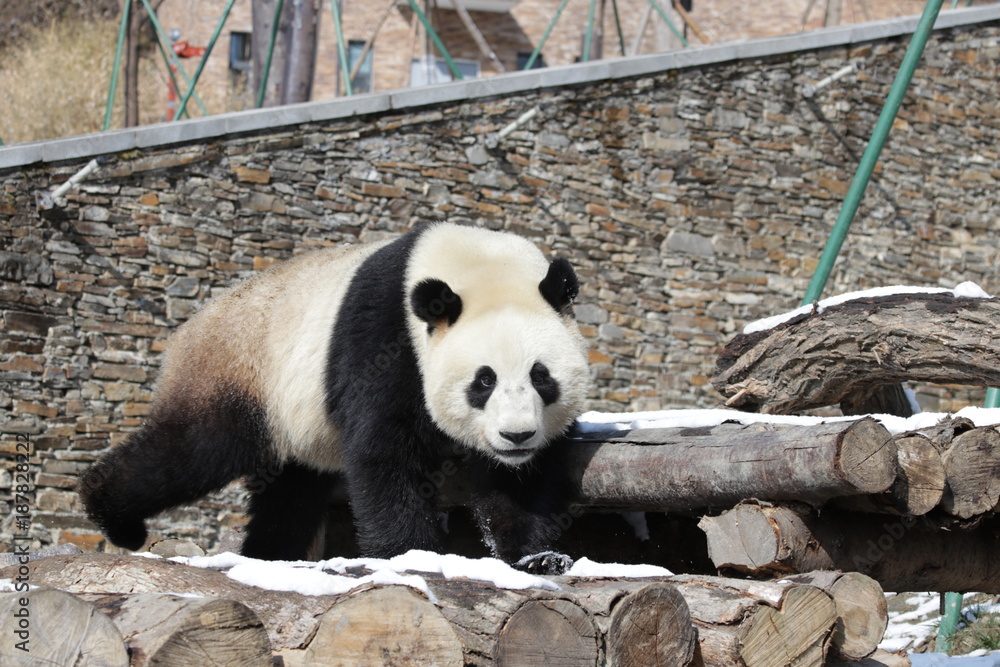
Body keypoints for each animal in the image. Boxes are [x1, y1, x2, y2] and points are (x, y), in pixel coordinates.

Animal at [79, 222, 590, 570]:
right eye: (483, 381)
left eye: (541, 376)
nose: (516, 436)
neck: (477, 265)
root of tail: (187, 328)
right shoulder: (387, 342)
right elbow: (384, 452)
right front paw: (411, 555)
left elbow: (519, 484)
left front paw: (537, 557)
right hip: (238, 371)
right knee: (191, 450)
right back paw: (113, 515)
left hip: (293, 426)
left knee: (289, 494)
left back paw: (270, 556)